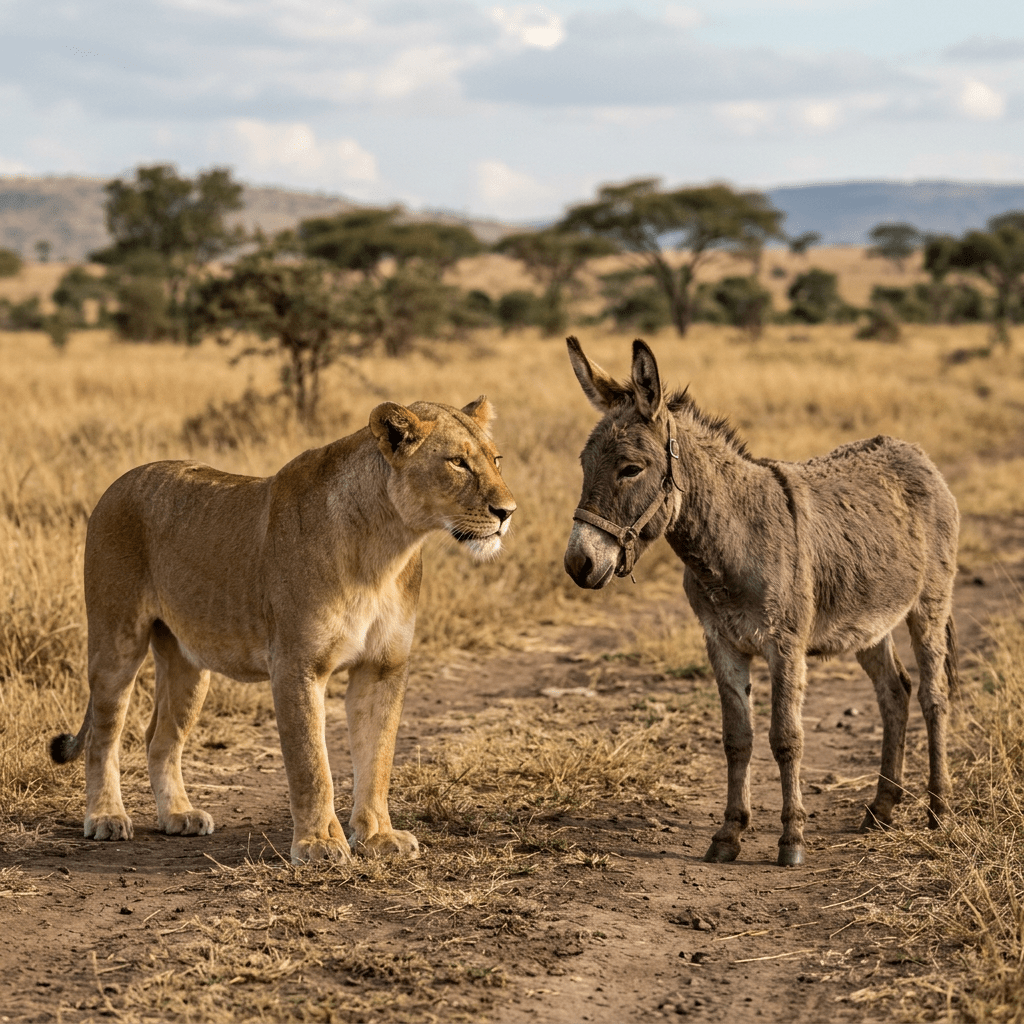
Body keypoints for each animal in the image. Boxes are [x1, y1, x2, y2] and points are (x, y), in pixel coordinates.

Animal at [50, 397, 516, 864]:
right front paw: (319, 844)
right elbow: (311, 763)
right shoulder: (297, 665)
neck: (386, 548)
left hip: (187, 664)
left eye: (495, 459)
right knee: (104, 736)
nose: (507, 512)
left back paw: (178, 815)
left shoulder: (383, 667)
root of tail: (119, 483)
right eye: (457, 462)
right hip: (117, 641)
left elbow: (378, 757)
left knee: (160, 738)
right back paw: (106, 818)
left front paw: (378, 837)